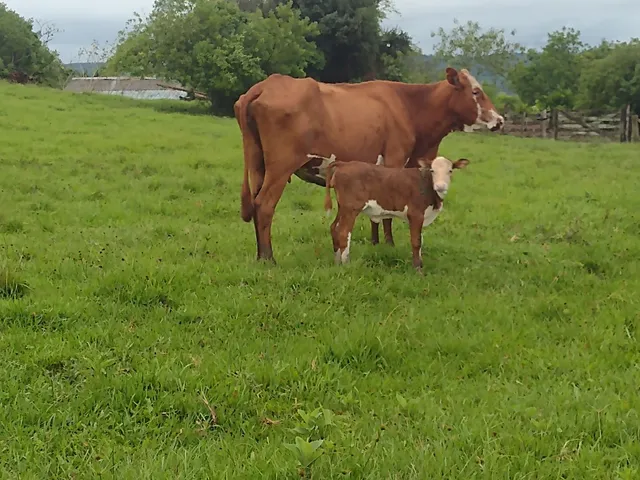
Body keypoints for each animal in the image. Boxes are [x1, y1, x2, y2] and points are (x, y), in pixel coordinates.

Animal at [323, 154, 470, 273]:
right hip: (351, 208)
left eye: (450, 171)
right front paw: (418, 269)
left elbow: (421, 240)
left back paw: (337, 261)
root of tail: (344, 163)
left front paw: (420, 264)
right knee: (344, 232)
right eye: (432, 170)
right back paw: (346, 264)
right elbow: (416, 241)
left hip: (342, 207)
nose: (440, 186)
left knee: (334, 227)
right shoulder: (415, 214)